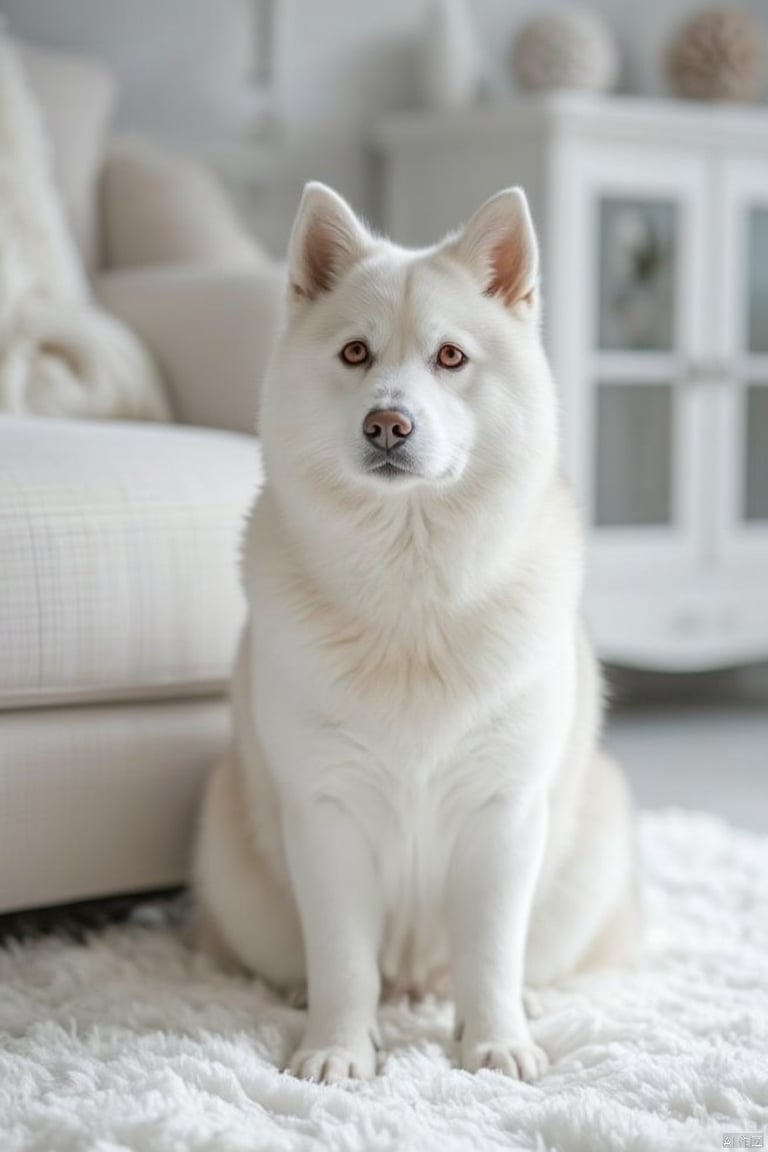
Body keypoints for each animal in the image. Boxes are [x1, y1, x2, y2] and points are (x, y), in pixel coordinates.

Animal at [193, 184, 635, 1082]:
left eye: (452, 358)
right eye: (356, 353)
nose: (388, 426)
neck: (412, 589)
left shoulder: (505, 811)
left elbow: (491, 953)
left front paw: (497, 1042)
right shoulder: (325, 811)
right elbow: (342, 959)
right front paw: (336, 1049)